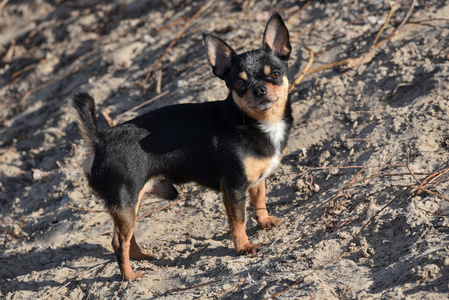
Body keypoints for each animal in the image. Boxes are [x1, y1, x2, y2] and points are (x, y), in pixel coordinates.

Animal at [72, 13, 292, 282]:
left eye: (275, 74)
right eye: (240, 85)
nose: (259, 89)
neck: (256, 122)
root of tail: (101, 139)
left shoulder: (255, 180)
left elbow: (260, 200)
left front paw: (264, 221)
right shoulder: (233, 187)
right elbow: (238, 220)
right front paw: (244, 247)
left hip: (131, 204)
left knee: (127, 236)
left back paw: (141, 257)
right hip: (125, 201)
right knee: (117, 242)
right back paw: (130, 276)